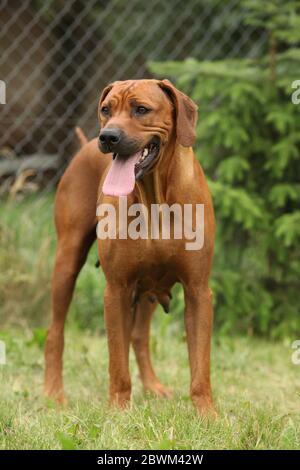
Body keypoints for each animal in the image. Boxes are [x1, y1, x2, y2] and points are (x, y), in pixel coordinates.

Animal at [44, 79, 216, 416]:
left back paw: (153, 387)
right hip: (66, 261)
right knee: (55, 331)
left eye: (141, 109)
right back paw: (53, 394)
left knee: (139, 336)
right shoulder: (117, 289)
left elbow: (200, 366)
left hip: (150, 286)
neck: (155, 199)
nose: (108, 136)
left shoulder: (198, 289)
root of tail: (84, 146)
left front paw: (208, 415)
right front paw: (118, 411)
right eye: (105, 109)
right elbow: (117, 362)